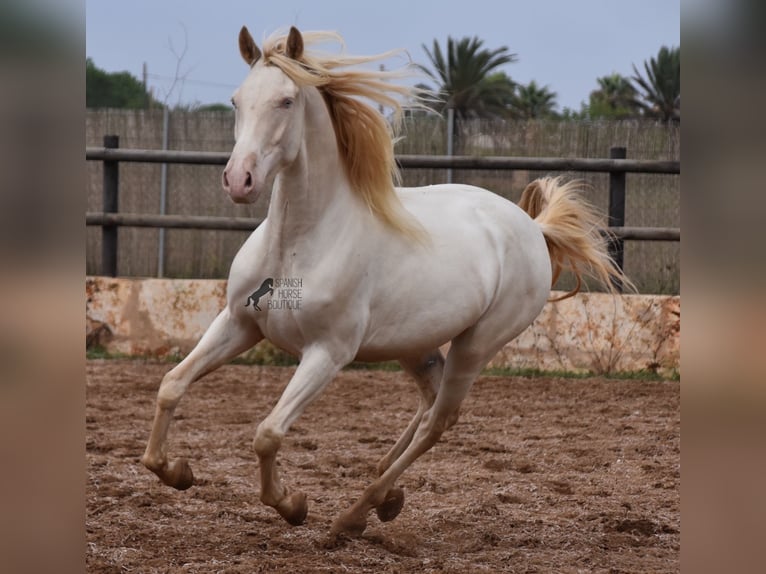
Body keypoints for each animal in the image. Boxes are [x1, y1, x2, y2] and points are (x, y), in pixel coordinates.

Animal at [142, 24, 632, 544]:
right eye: (236, 100)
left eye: (286, 101)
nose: (240, 181)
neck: (300, 242)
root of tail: (532, 227)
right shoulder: (239, 323)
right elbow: (171, 385)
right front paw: (176, 472)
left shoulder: (328, 353)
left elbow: (268, 433)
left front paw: (293, 504)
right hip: (415, 344)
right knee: (429, 403)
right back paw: (385, 493)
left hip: (477, 344)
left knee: (439, 420)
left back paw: (356, 513)